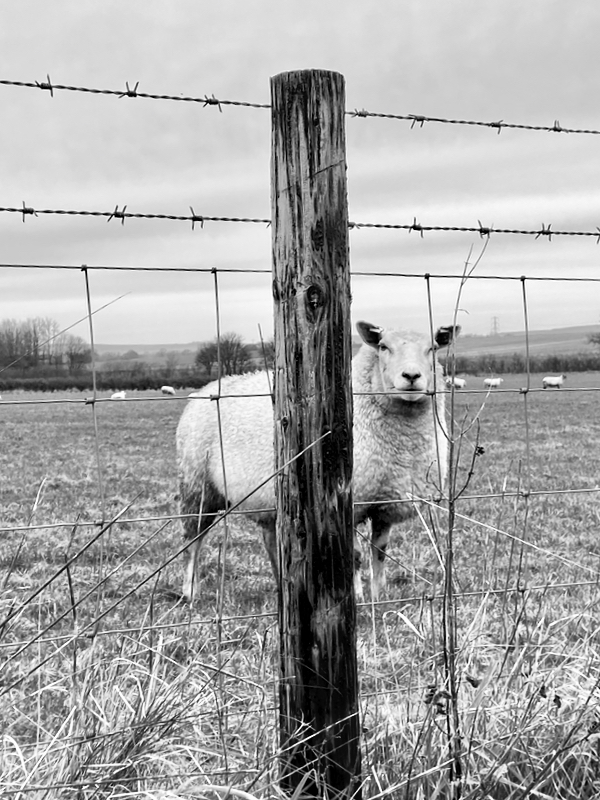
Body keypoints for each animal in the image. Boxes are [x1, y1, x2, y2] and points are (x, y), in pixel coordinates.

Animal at [176, 320, 459, 603]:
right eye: (382, 346)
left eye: (433, 348)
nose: (411, 376)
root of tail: (206, 389)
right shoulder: (350, 502)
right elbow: (355, 557)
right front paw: (356, 598)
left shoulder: (386, 504)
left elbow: (379, 553)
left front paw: (378, 597)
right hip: (197, 486)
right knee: (192, 540)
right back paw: (190, 591)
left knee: (271, 541)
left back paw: (282, 587)